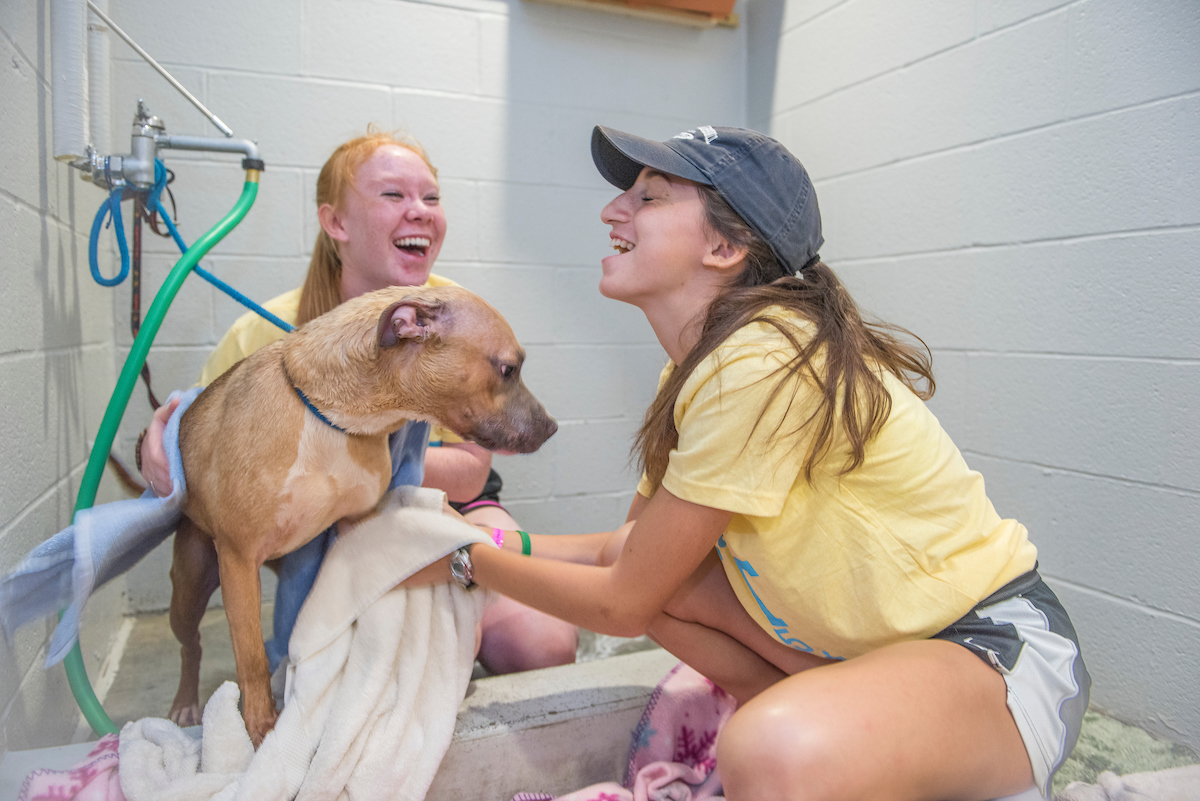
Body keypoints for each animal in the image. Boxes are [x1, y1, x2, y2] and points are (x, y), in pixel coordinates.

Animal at [165, 286, 556, 743]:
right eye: (508, 369)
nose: (553, 427)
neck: (330, 419)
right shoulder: (238, 559)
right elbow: (251, 657)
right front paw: (261, 728)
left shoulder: (356, 526)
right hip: (190, 588)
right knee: (191, 646)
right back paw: (185, 702)